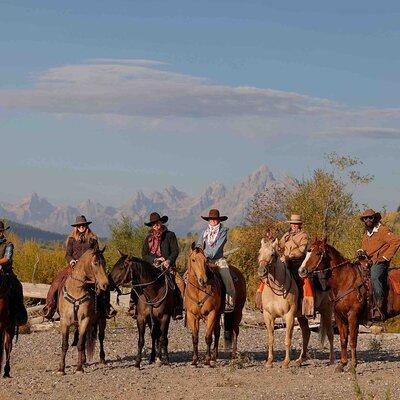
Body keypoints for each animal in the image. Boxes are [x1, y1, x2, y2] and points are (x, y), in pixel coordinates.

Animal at [57, 247, 108, 376]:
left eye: (104, 263)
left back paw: (102, 359)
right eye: (95, 263)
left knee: (100, 337)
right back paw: (84, 360)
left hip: (101, 320)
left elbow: (80, 344)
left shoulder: (85, 320)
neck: (76, 290)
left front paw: (79, 368)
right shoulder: (64, 322)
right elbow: (65, 344)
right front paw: (61, 369)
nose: (105, 284)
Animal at [256, 238, 334, 368]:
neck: (277, 288)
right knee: (306, 333)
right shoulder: (268, 316)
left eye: (272, 254)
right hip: (302, 316)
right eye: (259, 253)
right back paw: (300, 360)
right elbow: (271, 339)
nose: (262, 271)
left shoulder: (289, 316)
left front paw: (286, 362)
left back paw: (331, 360)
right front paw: (269, 361)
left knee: (330, 334)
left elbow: (287, 340)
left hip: (326, 311)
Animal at [298, 238, 400, 372]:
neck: (345, 280)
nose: (301, 271)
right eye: (308, 251)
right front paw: (342, 364)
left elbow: (352, 340)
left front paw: (353, 365)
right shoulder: (339, 317)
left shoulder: (353, 316)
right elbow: (343, 339)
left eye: (318, 253)